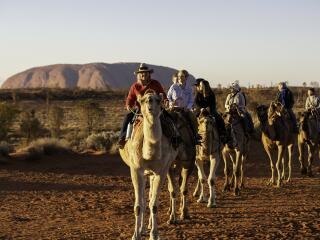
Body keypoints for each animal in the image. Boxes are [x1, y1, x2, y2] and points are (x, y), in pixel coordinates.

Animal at [119, 90, 178, 240]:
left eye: (158, 100)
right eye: (143, 100)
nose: (150, 105)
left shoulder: (161, 171)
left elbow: (154, 204)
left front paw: (154, 234)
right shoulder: (136, 170)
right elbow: (138, 205)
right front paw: (136, 235)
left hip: (154, 173)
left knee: (150, 198)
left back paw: (149, 227)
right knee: (144, 199)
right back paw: (143, 229)